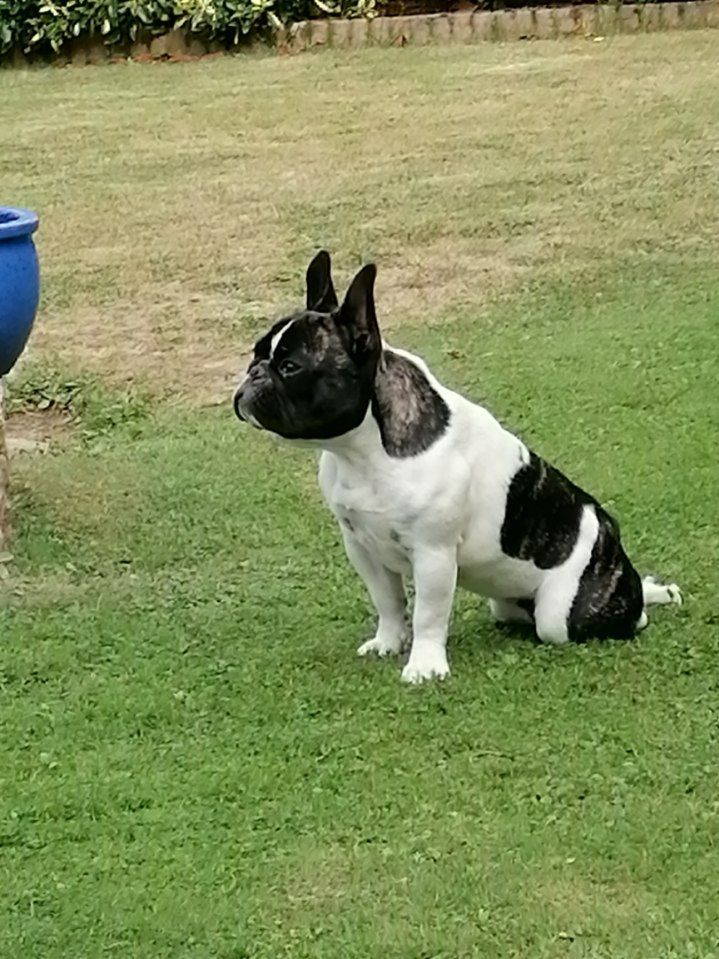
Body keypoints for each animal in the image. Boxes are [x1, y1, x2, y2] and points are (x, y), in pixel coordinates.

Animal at [233, 252, 682, 683]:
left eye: (290, 367)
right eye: (256, 354)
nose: (253, 375)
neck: (362, 452)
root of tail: (613, 542)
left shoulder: (433, 554)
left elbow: (428, 615)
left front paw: (425, 666)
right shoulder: (361, 546)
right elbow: (388, 601)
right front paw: (388, 642)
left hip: (564, 613)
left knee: (620, 615)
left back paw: (650, 595)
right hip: (508, 601)